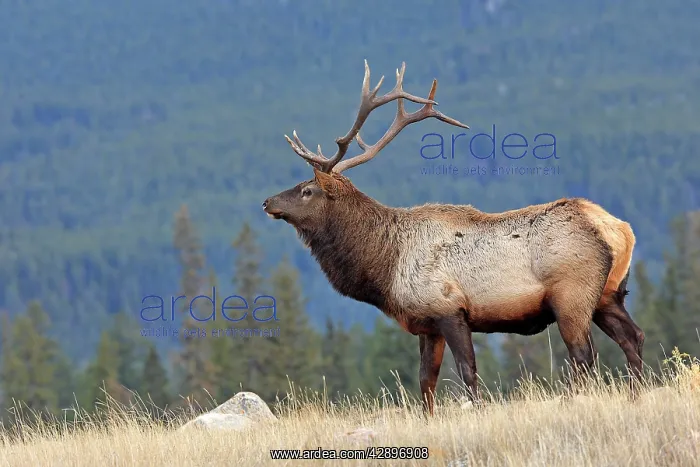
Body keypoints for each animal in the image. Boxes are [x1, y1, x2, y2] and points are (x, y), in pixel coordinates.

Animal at [262, 60, 645, 416]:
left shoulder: (450, 309)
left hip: (572, 295)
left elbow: (467, 372)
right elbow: (425, 380)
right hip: (609, 295)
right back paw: (635, 396)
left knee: (583, 354)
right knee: (634, 337)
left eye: (307, 190)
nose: (267, 202)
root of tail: (619, 229)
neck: (385, 266)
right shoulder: (427, 324)